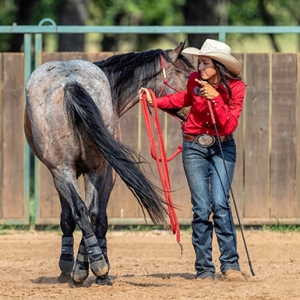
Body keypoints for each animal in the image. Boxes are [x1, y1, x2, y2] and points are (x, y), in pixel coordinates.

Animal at [24, 41, 196, 288]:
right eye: (186, 75)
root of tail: (69, 82)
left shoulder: (78, 172)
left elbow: (76, 216)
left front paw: (76, 266)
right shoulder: (101, 172)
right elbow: (94, 216)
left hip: (67, 171)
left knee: (82, 211)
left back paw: (89, 268)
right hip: (83, 170)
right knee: (89, 212)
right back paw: (93, 268)